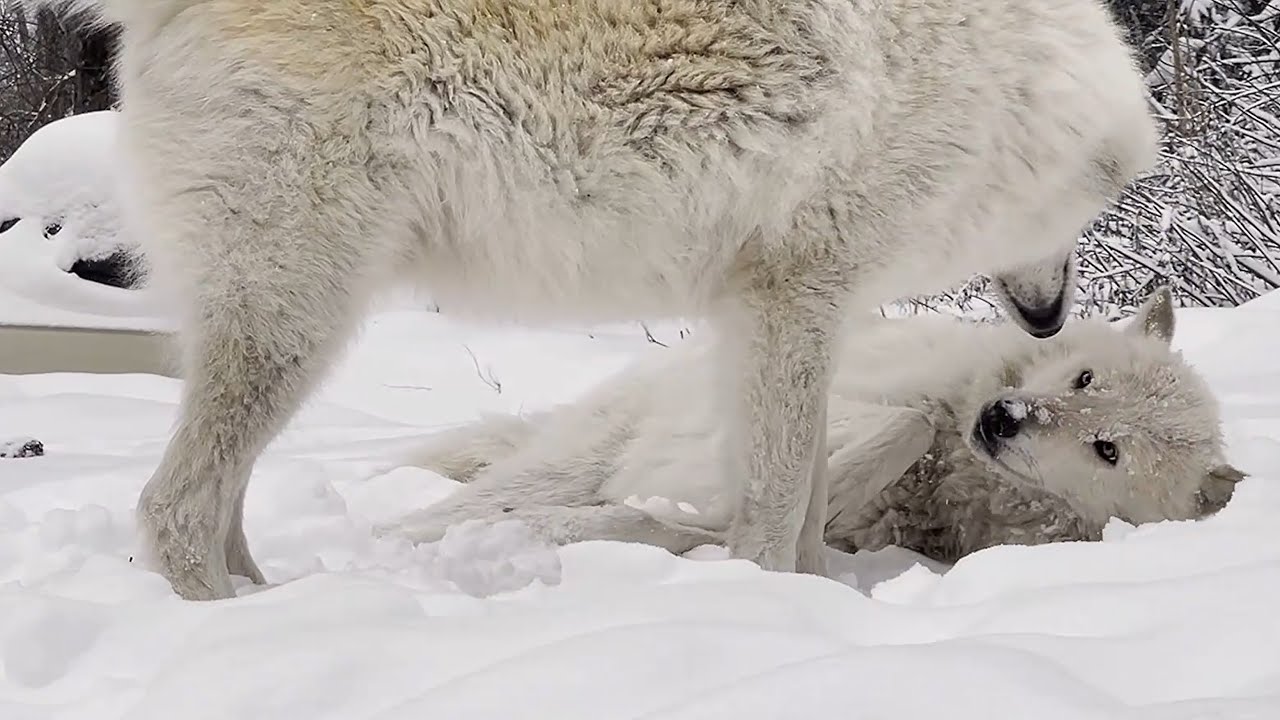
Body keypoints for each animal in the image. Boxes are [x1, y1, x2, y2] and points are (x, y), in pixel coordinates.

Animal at [35, 0, 1157, 598]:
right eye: (1088, 212)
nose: (1051, 319)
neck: (996, 84)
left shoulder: (779, 319)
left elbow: (801, 496)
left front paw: (818, 593)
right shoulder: (791, 301)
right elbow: (777, 495)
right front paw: (771, 595)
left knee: (217, 497)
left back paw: (264, 598)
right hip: (296, 320)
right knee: (173, 505)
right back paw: (221, 613)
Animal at [389, 287, 1246, 565]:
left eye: (1107, 450)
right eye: (1085, 379)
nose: (1001, 419)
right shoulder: (875, 404)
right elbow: (902, 424)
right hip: (574, 453)